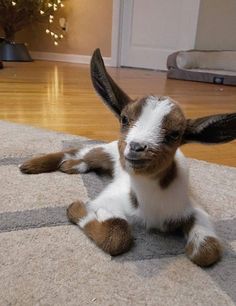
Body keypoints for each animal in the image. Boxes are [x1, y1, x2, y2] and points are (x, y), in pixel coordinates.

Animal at [19, 49, 236, 266]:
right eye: (124, 119)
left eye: (175, 134)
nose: (137, 147)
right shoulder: (109, 200)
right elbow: (117, 236)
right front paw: (80, 209)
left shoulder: (195, 211)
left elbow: (207, 252)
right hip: (108, 150)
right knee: (79, 150)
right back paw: (31, 165)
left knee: (83, 158)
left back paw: (70, 166)